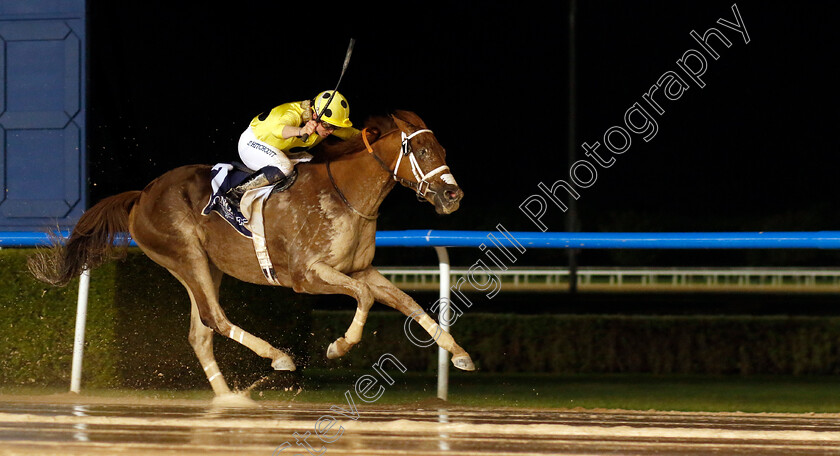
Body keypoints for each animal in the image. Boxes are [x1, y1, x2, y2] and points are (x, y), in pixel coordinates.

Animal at [29, 109, 472, 396]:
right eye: (421, 151)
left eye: (442, 148)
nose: (453, 195)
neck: (344, 194)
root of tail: (142, 194)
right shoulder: (307, 276)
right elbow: (363, 298)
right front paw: (338, 346)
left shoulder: (360, 269)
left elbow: (408, 303)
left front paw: (460, 354)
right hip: (185, 255)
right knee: (214, 318)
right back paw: (277, 358)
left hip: (206, 266)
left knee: (200, 333)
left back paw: (228, 401)